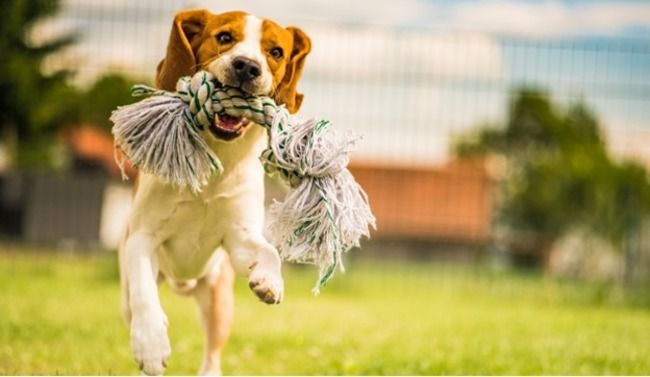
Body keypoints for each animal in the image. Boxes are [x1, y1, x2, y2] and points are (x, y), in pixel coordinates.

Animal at [118, 8, 312, 374]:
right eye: (224, 37)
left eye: (275, 52)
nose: (247, 66)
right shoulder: (141, 236)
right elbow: (144, 294)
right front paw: (150, 344)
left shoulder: (237, 239)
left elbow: (269, 251)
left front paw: (270, 280)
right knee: (133, 301)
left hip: (218, 300)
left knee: (212, 352)